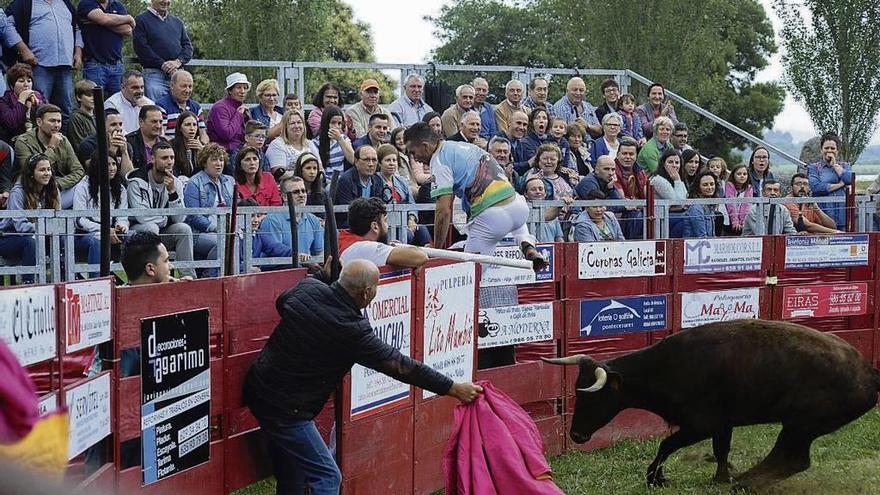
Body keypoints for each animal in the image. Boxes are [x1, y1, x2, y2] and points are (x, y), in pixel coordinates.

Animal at [544, 322, 880, 488]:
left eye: (593, 396)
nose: (576, 436)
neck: (666, 367)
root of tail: (869, 373)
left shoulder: (700, 424)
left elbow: (666, 444)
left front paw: (655, 478)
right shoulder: (722, 424)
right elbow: (721, 449)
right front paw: (721, 476)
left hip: (801, 424)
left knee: (793, 459)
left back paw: (747, 482)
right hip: (800, 426)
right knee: (791, 458)